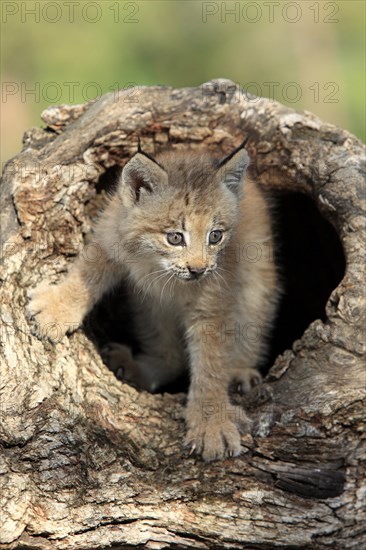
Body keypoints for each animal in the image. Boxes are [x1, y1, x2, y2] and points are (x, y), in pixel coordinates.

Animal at [27, 141, 280, 462]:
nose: (198, 270)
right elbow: (87, 273)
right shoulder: (109, 238)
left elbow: (210, 364)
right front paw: (57, 308)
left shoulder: (213, 303)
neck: (156, 267)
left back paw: (240, 372)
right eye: (174, 237)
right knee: (171, 355)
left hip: (257, 282)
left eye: (215, 236)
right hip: (148, 305)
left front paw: (211, 424)